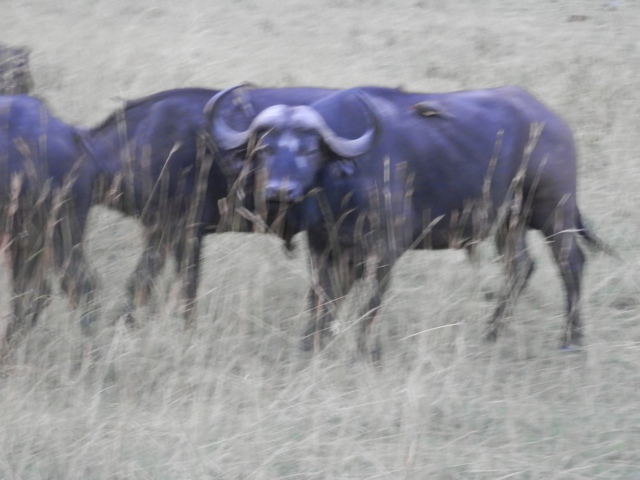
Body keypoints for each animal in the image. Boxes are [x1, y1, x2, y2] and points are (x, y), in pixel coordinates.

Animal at [207, 85, 607, 359]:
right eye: (265, 149)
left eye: (308, 150)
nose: (280, 190)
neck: (342, 188)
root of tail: (552, 122)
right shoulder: (323, 247)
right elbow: (322, 297)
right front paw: (311, 345)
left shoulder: (385, 251)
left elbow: (371, 302)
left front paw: (365, 350)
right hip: (508, 223)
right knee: (520, 267)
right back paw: (492, 333)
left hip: (556, 211)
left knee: (571, 263)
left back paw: (570, 339)